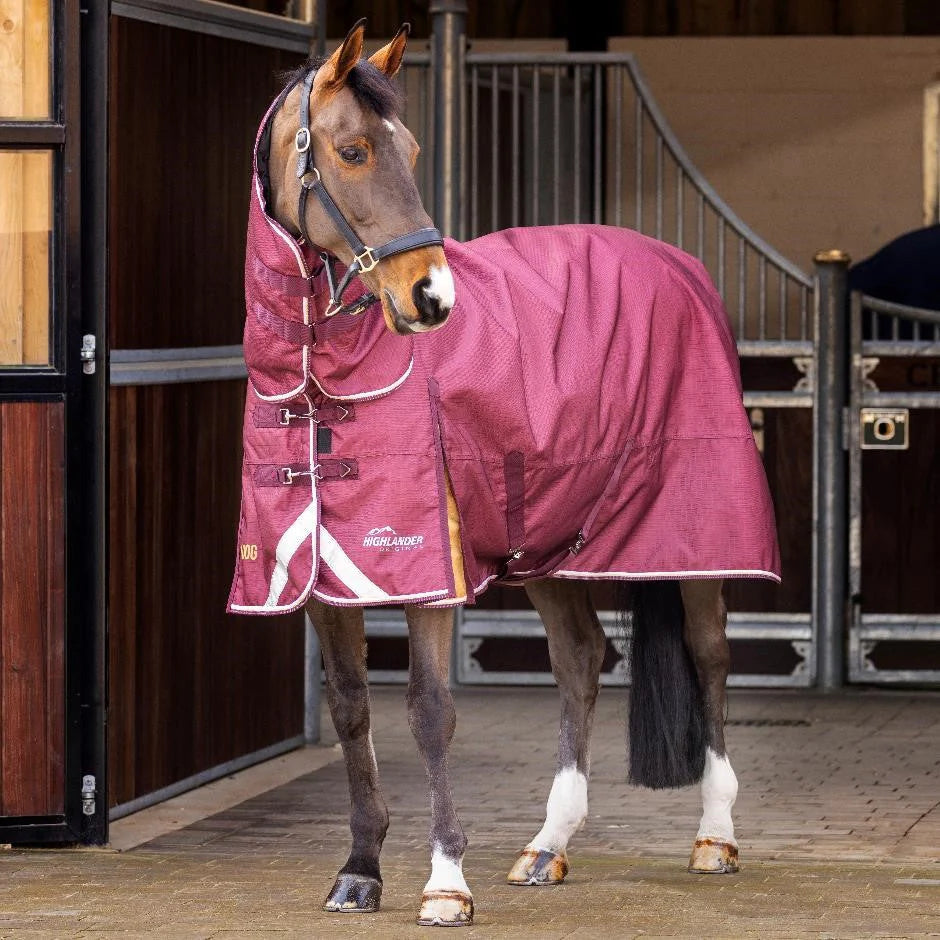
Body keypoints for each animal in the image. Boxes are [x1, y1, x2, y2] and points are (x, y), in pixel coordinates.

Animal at [228, 20, 780, 927]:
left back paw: (715, 837)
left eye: (413, 148)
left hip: (691, 539)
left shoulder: (428, 569)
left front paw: (446, 883)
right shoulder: (320, 580)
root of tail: (682, 268)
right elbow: (350, 709)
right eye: (352, 150)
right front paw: (360, 870)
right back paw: (546, 847)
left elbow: (429, 712)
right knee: (581, 659)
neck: (322, 376)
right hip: (552, 542)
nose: (432, 297)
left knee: (709, 656)